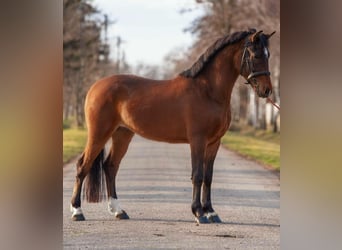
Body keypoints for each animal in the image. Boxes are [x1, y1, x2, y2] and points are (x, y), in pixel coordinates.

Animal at [69, 28, 276, 224]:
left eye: (268, 55)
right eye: (256, 55)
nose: (266, 90)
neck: (207, 91)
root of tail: (95, 87)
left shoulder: (214, 143)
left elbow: (208, 177)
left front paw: (211, 212)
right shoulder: (198, 141)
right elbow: (197, 175)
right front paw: (198, 213)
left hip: (122, 134)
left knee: (110, 166)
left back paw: (119, 211)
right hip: (99, 133)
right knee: (83, 166)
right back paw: (77, 211)